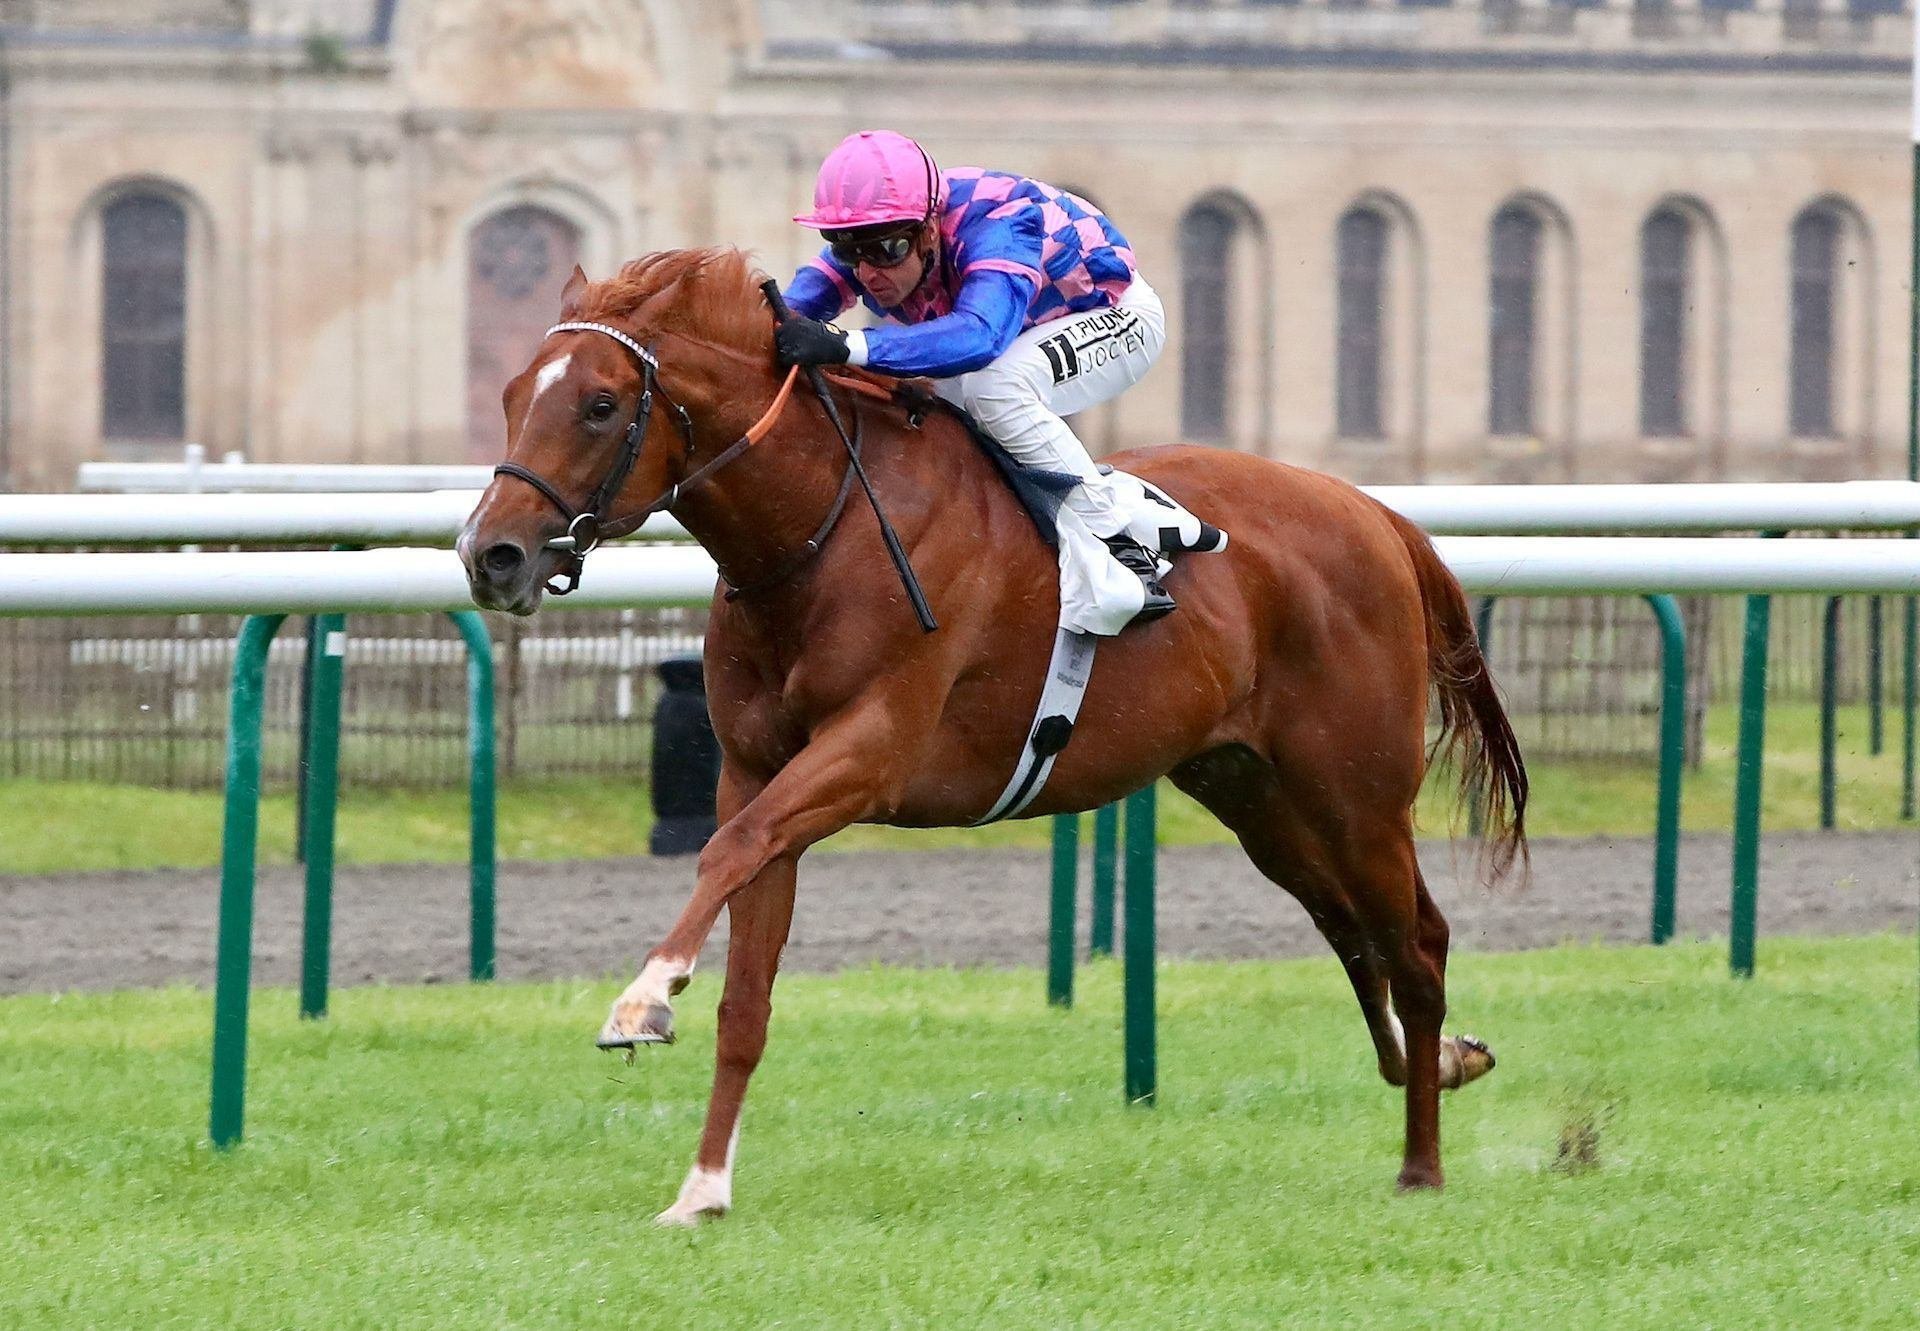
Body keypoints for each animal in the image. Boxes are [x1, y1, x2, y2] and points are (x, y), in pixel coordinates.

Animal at [459, 247, 1528, 1226]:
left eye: (600, 405)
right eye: (512, 395)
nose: (489, 555)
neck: (818, 532)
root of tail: (1378, 513)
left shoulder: (870, 752)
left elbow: (729, 848)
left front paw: (644, 996)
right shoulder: (757, 768)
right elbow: (746, 990)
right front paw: (703, 1188)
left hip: (1356, 791)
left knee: (1416, 943)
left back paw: (1422, 1164)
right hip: (1253, 792)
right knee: (1353, 933)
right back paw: (1444, 1058)